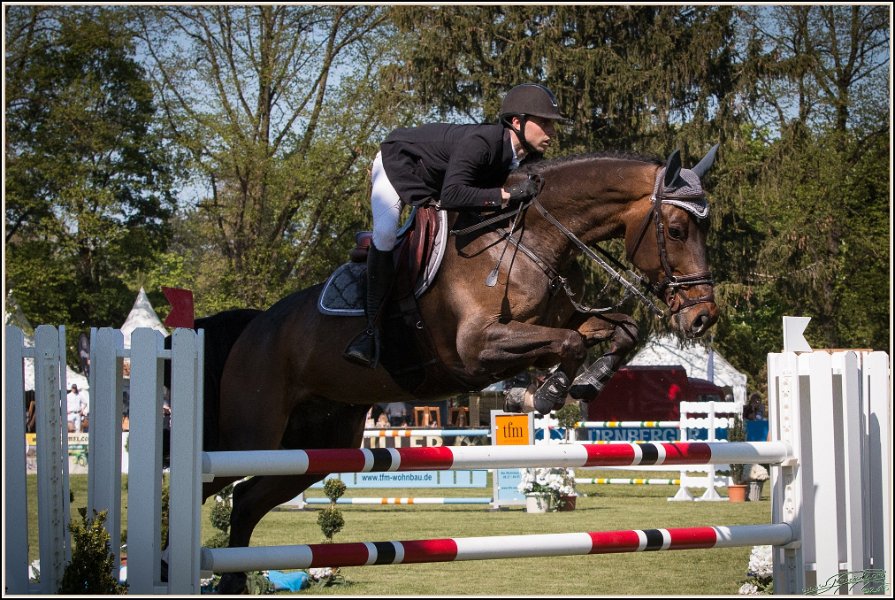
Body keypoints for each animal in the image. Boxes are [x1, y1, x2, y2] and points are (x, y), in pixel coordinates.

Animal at [196, 146, 720, 593]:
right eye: (676, 230)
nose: (702, 317)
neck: (531, 238)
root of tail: (253, 325)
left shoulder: (555, 322)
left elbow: (620, 331)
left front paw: (583, 383)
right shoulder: (476, 347)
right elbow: (568, 344)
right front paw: (541, 395)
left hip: (315, 446)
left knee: (246, 502)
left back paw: (231, 581)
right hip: (252, 437)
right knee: (215, 485)